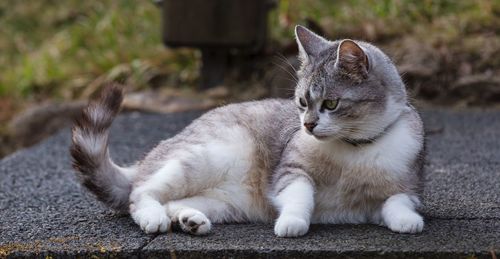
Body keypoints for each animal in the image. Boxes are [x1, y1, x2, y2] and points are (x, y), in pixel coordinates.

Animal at [70, 24, 426, 238]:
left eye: (331, 103)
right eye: (302, 102)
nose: (308, 125)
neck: (353, 148)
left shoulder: (407, 188)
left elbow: (398, 203)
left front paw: (407, 222)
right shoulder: (290, 171)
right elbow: (300, 196)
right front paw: (293, 222)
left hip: (225, 202)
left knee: (172, 201)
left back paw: (190, 220)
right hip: (207, 155)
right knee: (140, 193)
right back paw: (153, 218)